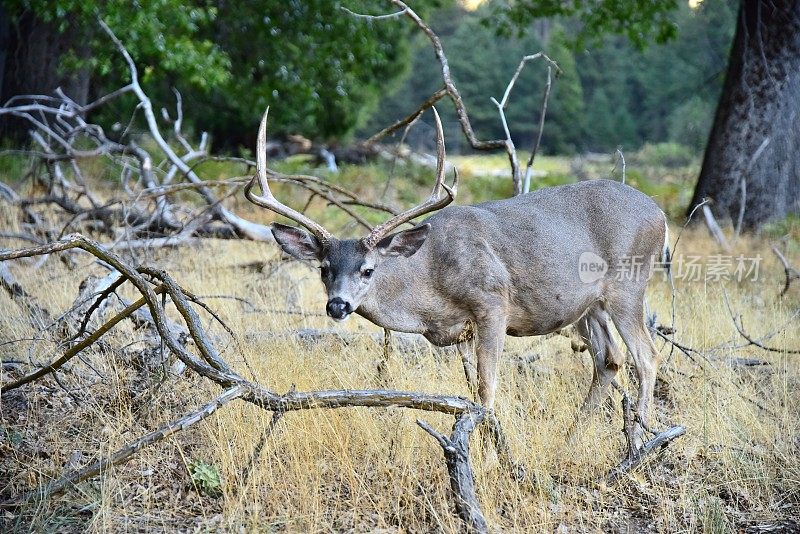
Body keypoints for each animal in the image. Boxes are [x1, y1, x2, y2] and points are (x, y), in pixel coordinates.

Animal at [245, 107, 668, 442]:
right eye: (324, 269)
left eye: (367, 269)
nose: (338, 306)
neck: (431, 284)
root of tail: (660, 213)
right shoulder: (460, 330)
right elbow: (469, 391)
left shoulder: (493, 303)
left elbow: (487, 388)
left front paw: (491, 451)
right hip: (587, 306)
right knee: (610, 359)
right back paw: (572, 438)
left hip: (629, 284)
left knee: (646, 356)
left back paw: (641, 439)